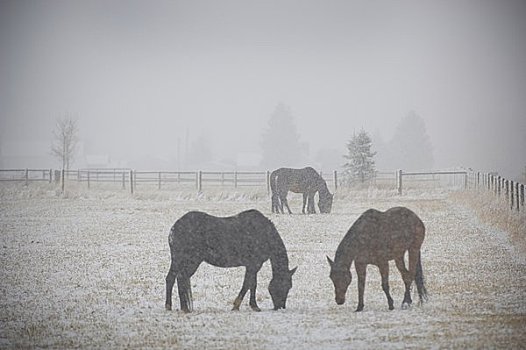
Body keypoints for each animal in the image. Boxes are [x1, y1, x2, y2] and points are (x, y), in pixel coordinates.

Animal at [165, 209, 296, 314]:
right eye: (285, 286)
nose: (281, 307)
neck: (264, 234)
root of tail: (174, 228)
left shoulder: (252, 266)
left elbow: (252, 284)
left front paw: (253, 306)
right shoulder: (254, 265)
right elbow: (247, 284)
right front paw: (238, 306)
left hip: (178, 261)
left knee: (171, 278)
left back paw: (169, 306)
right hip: (191, 261)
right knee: (181, 278)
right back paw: (184, 308)